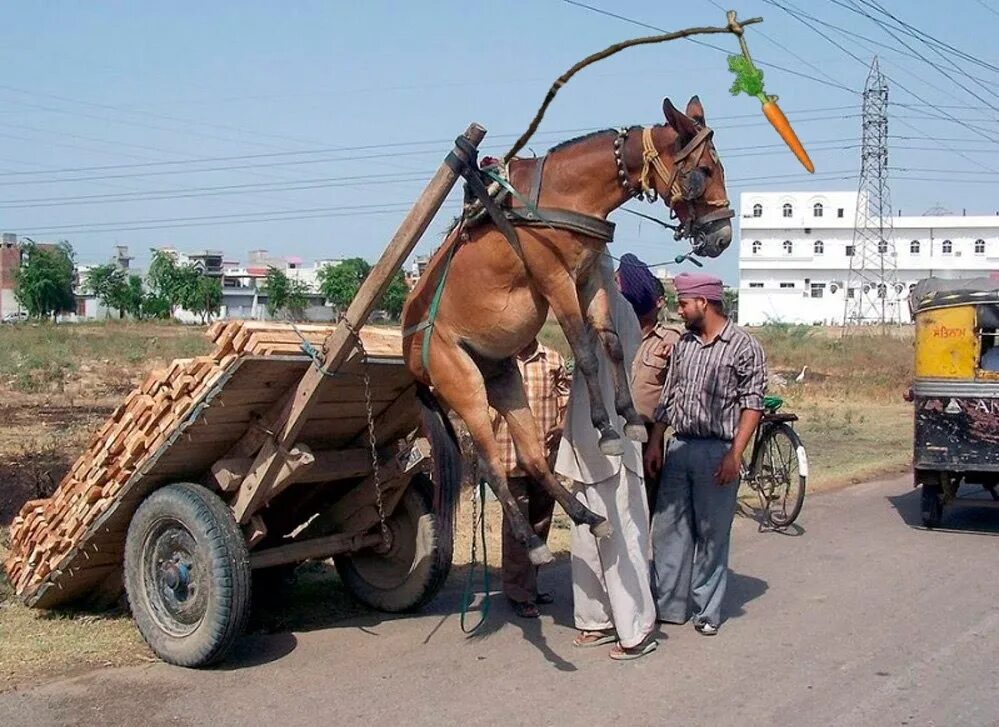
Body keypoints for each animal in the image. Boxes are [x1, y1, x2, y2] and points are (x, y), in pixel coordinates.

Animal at [400, 96, 736, 564]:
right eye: (702, 170)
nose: (722, 236)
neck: (565, 195)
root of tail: (411, 355)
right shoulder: (555, 279)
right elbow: (586, 351)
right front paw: (607, 430)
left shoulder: (590, 275)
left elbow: (612, 344)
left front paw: (631, 418)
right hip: (463, 386)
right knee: (489, 465)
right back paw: (532, 541)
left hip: (502, 379)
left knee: (532, 456)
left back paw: (588, 517)